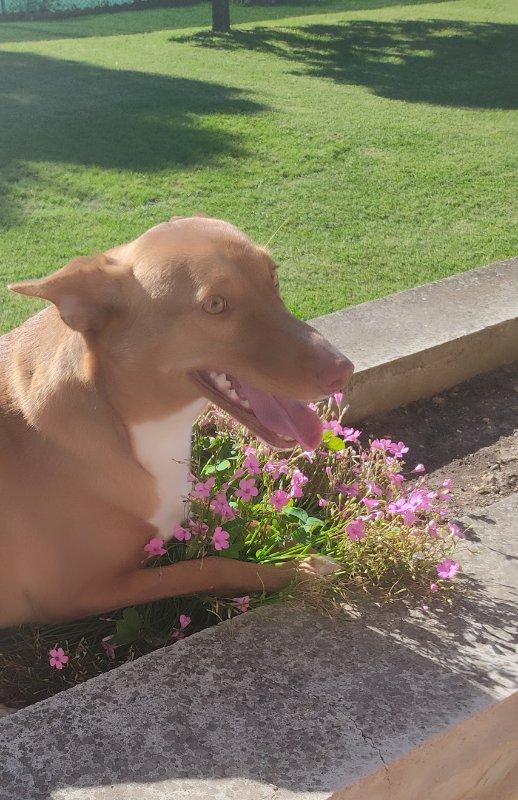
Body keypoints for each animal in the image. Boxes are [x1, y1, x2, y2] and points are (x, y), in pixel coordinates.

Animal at [0, 216, 353, 628]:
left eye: (273, 276)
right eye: (215, 304)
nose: (343, 371)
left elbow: (246, 519)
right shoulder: (77, 596)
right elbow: (214, 565)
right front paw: (298, 569)